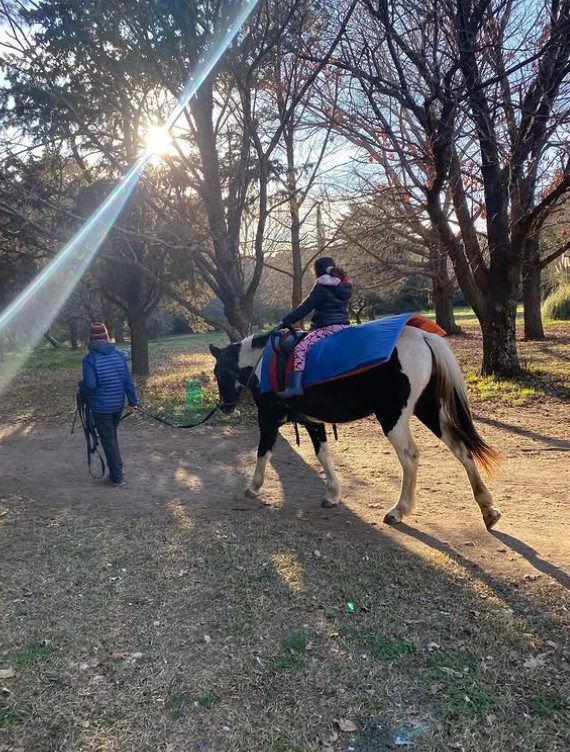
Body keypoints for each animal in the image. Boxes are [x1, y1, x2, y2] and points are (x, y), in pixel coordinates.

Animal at [209, 324, 501, 530]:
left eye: (217, 372)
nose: (224, 406)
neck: (261, 362)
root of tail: (421, 337)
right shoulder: (312, 422)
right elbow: (323, 455)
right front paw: (332, 494)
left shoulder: (268, 419)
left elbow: (263, 452)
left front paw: (252, 487)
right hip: (429, 410)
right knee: (460, 448)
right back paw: (487, 508)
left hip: (393, 417)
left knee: (409, 456)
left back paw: (399, 510)